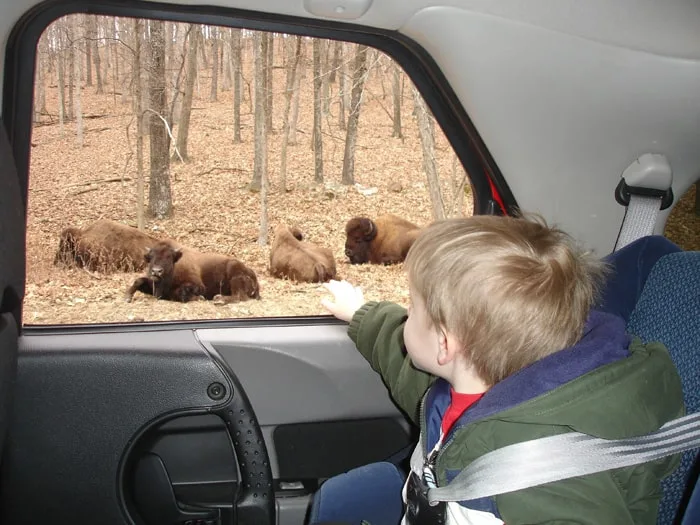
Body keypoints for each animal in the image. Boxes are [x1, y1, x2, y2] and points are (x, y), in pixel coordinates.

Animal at [123, 241, 260, 302]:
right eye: (151, 257)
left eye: (169, 257)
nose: (157, 271)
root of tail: (250, 272)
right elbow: (138, 281)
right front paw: (127, 297)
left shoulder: (198, 285)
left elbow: (181, 293)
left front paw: (199, 298)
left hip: (235, 277)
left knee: (239, 296)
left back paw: (219, 299)